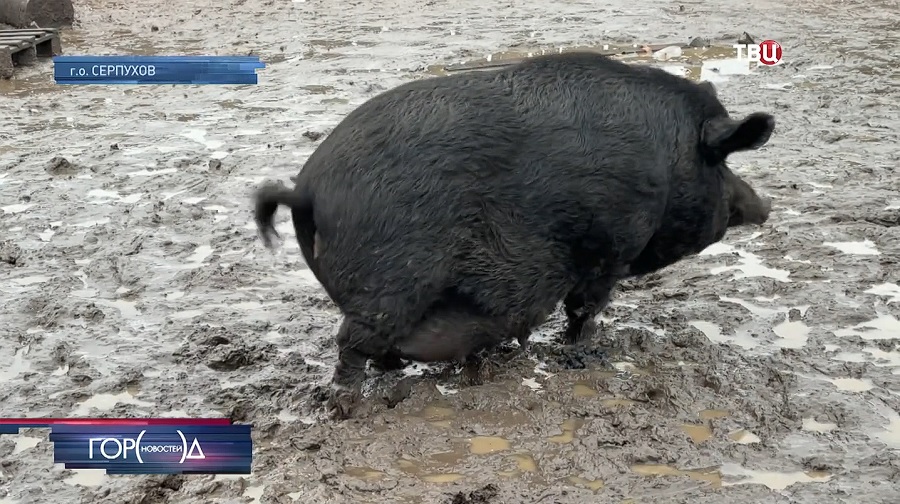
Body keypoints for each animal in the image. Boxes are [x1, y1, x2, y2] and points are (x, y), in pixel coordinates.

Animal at [255, 53, 772, 420]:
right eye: (721, 163)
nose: (765, 206)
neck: (668, 157)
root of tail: (304, 189)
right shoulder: (609, 247)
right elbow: (584, 308)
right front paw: (586, 351)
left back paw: (397, 371)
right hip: (388, 280)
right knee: (351, 344)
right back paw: (349, 407)